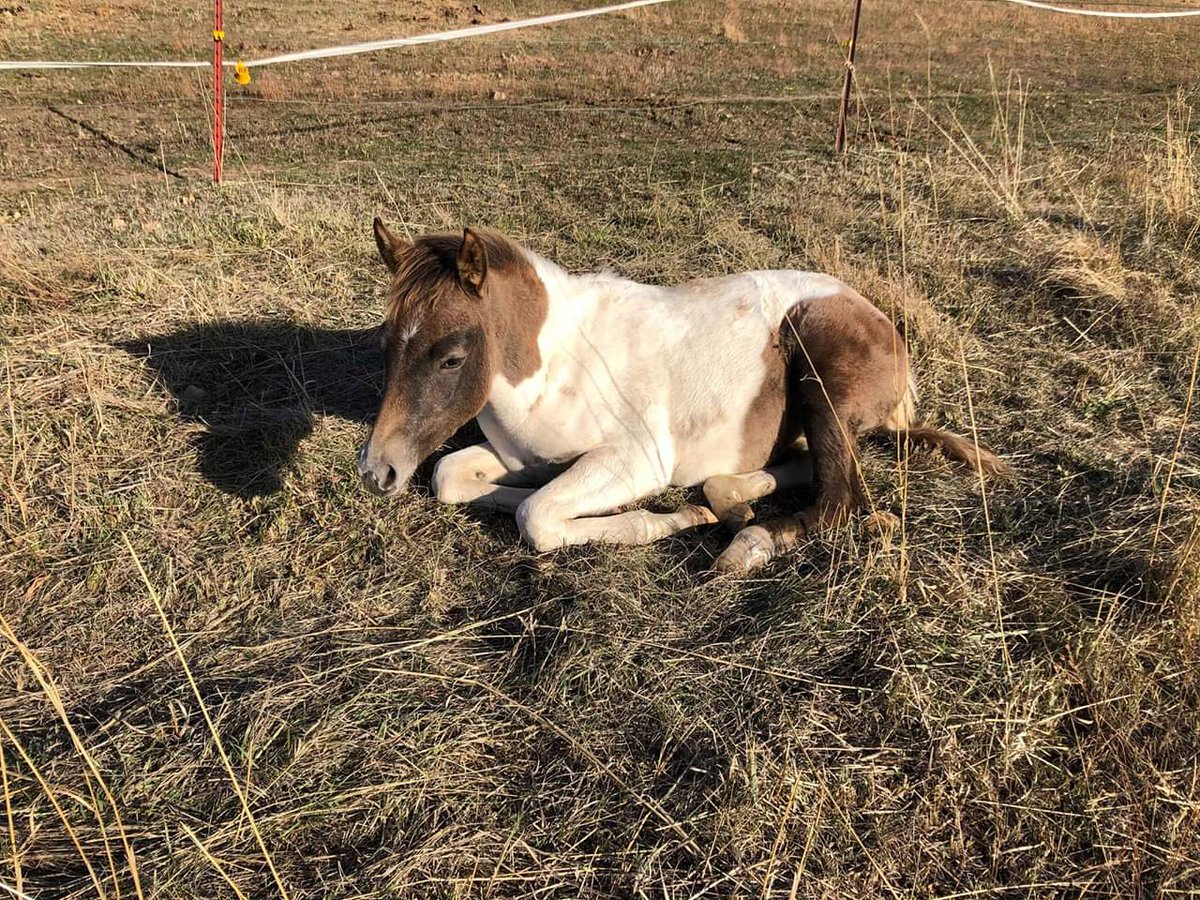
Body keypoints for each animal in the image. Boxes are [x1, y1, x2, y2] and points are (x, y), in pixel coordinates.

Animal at [357, 220, 1008, 573]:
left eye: (451, 358)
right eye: (385, 344)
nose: (377, 471)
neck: (554, 366)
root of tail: (882, 323)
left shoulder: (635, 460)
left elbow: (535, 515)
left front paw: (661, 520)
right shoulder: (522, 458)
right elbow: (453, 479)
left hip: (822, 377)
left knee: (840, 498)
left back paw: (746, 542)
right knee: (804, 467)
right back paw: (728, 501)